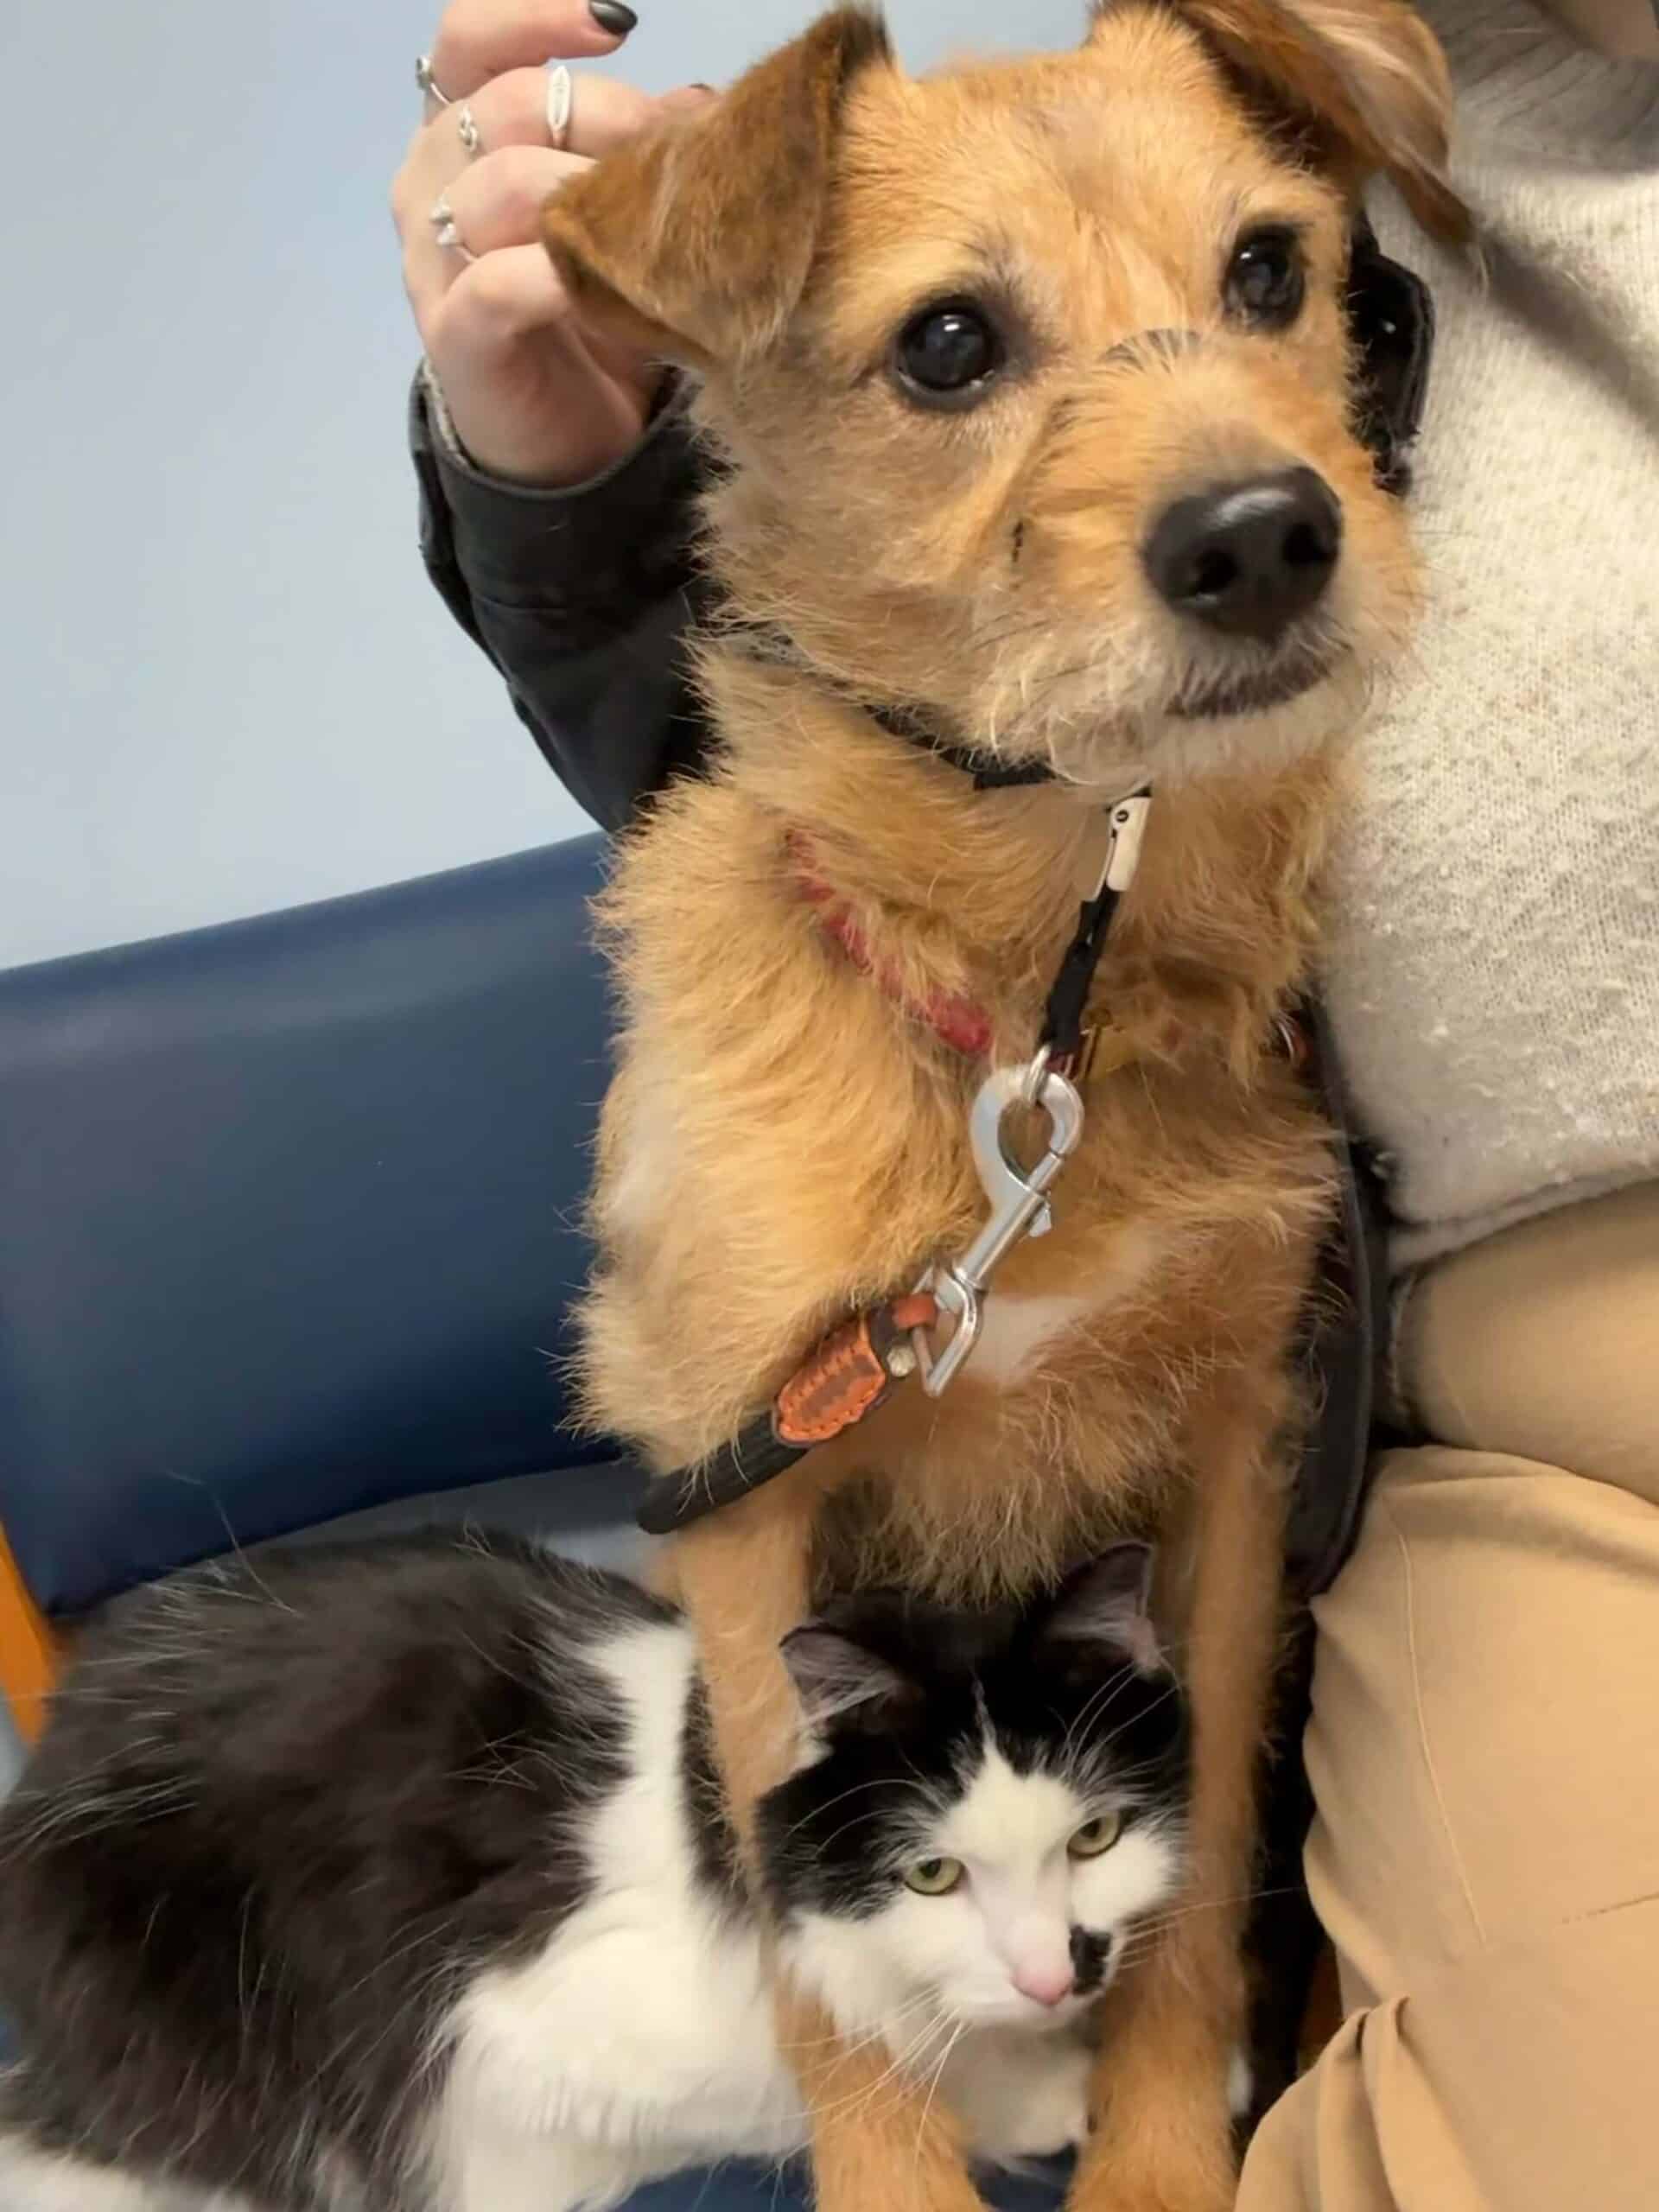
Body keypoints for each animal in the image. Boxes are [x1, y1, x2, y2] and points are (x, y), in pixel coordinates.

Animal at [0, 1531, 1189, 2212]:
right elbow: (839, 2085)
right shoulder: (513, 2040)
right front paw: (1035, 2094)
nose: (1058, 1976)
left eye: (1094, 1837)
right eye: (935, 1874)